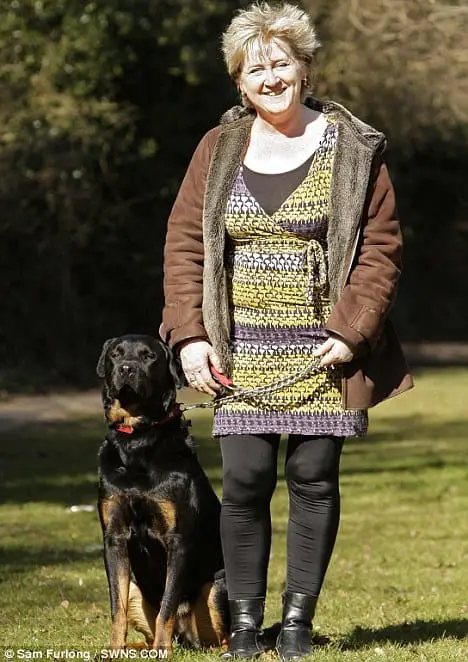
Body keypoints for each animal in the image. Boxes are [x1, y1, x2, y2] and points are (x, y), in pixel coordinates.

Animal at [95, 334, 229, 656]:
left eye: (149, 356)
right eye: (116, 354)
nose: (127, 368)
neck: (136, 438)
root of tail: (186, 640)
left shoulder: (177, 540)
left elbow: (167, 604)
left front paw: (161, 650)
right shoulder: (114, 536)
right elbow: (116, 608)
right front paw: (113, 649)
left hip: (218, 585)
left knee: (222, 637)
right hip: (136, 589)